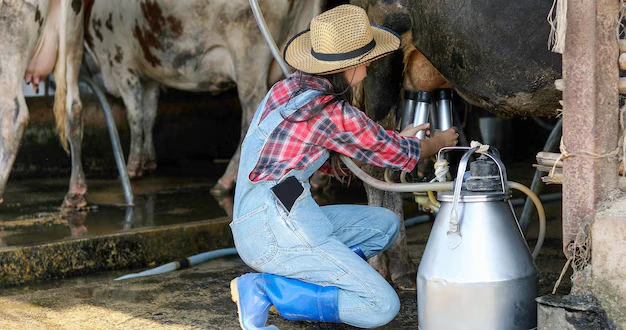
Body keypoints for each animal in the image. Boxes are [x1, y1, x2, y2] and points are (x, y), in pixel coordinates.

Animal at [83, 0, 322, 195]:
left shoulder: (121, 64)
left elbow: (135, 116)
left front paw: (132, 167)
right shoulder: (150, 75)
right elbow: (149, 114)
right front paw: (148, 161)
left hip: (249, 55)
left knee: (251, 112)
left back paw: (226, 180)